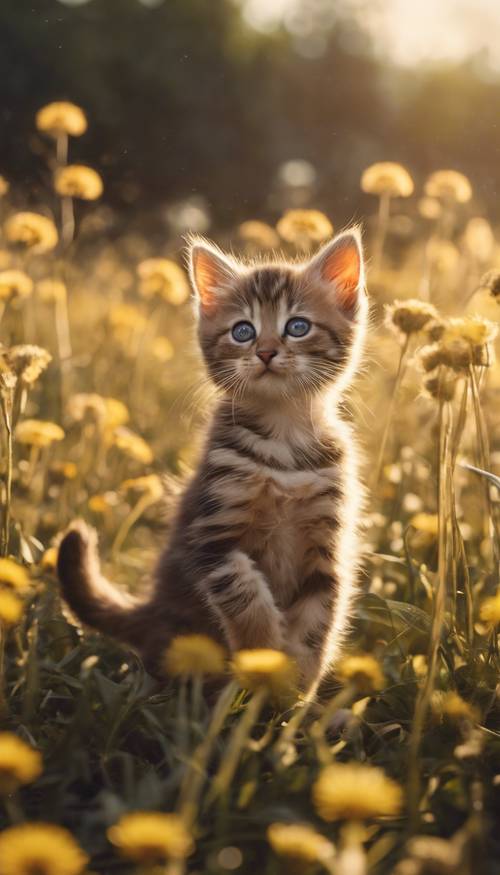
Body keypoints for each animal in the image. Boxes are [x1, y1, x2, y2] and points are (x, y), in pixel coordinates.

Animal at [57, 233, 368, 700]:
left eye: (297, 326)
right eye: (243, 331)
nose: (265, 352)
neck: (284, 440)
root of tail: (150, 613)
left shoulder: (326, 545)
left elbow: (320, 621)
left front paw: (297, 690)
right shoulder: (213, 531)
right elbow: (245, 593)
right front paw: (263, 654)